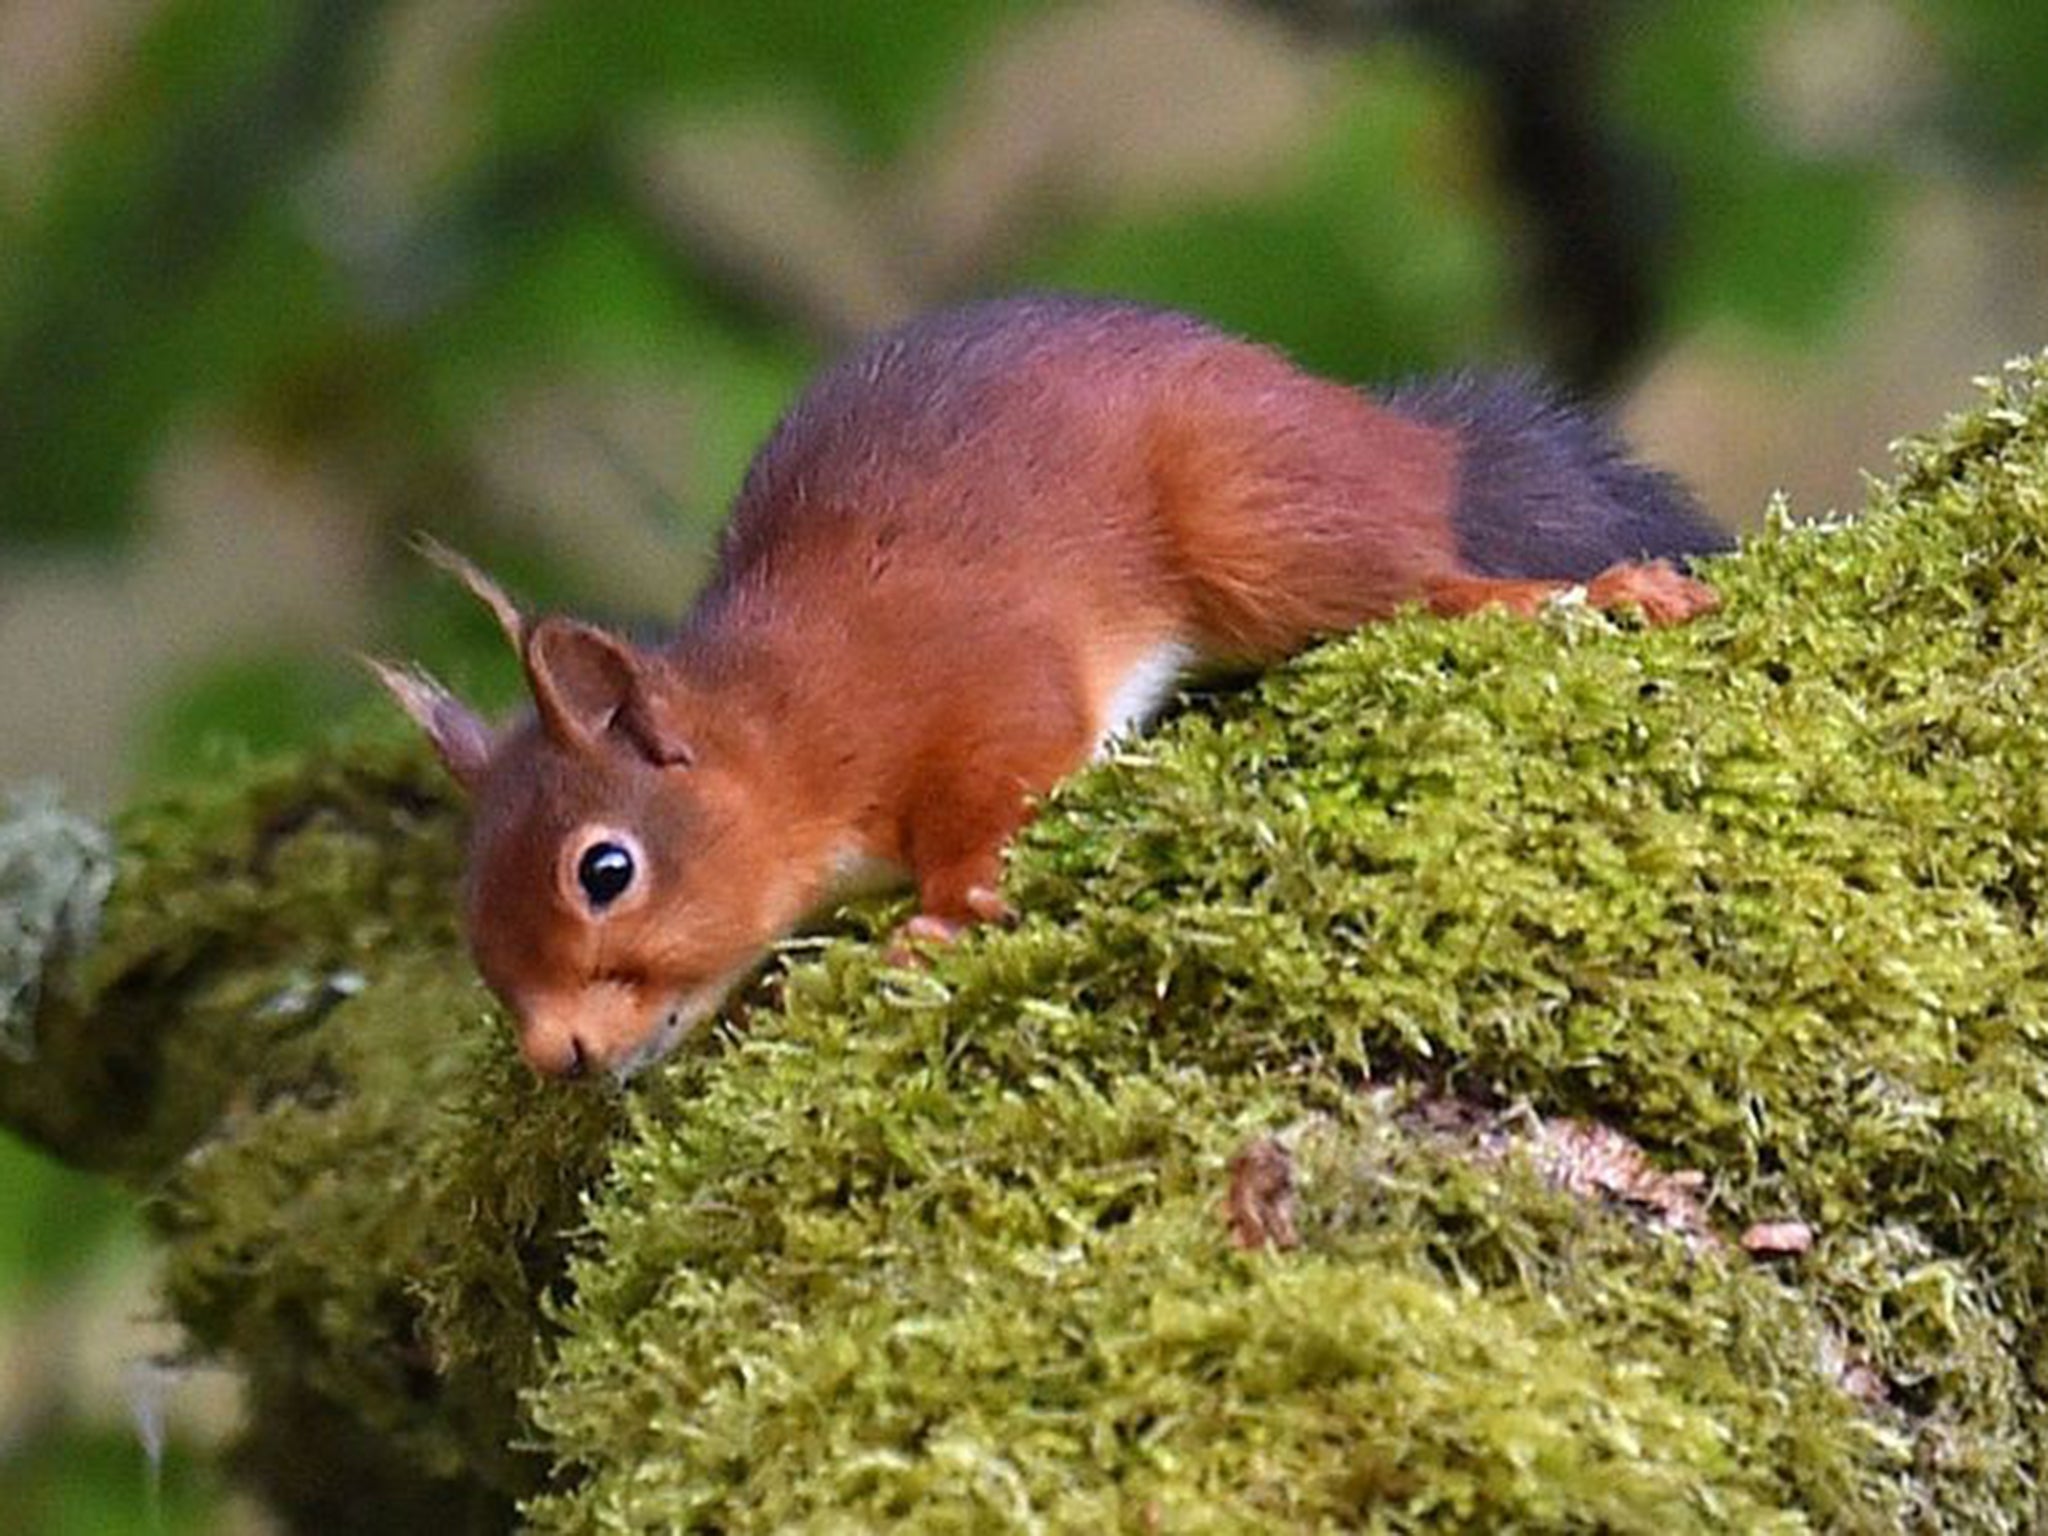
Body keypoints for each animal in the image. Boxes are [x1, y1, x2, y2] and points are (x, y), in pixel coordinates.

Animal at [372, 290, 1728, 1081]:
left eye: (604, 871)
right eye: (470, 916)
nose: (554, 1057)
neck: (790, 728)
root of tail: (1406, 445)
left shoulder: (974, 677)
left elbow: (998, 781)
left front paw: (947, 908)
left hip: (1256, 529)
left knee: (1423, 585)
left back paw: (1587, 592)